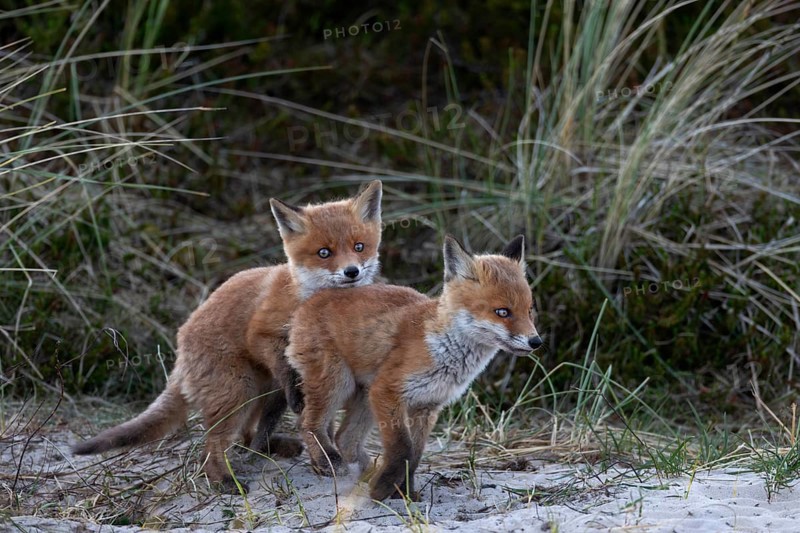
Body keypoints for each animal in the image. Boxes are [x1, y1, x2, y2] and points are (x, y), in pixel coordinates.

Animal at [73, 180, 383, 493]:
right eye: (324, 253)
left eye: (359, 247)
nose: (352, 272)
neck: (305, 294)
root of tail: (180, 351)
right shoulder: (261, 332)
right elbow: (286, 374)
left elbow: (322, 421)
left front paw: (323, 457)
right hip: (239, 392)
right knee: (212, 447)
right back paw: (223, 480)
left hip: (264, 394)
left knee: (248, 437)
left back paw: (272, 447)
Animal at [286, 233, 542, 501]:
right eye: (502, 312)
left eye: (529, 310)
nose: (536, 342)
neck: (443, 350)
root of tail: (312, 299)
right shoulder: (388, 391)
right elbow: (403, 448)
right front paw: (383, 488)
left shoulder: (427, 406)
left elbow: (416, 455)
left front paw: (404, 491)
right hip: (338, 384)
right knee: (307, 424)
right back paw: (330, 461)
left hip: (365, 396)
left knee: (345, 438)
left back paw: (365, 472)